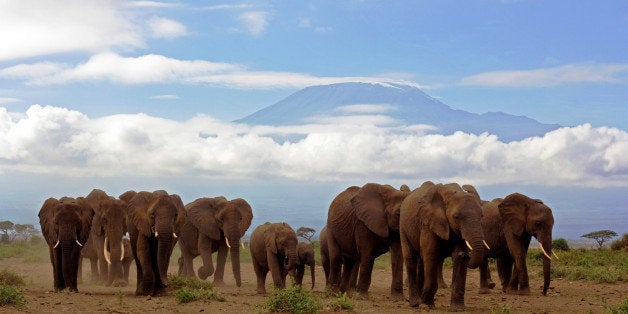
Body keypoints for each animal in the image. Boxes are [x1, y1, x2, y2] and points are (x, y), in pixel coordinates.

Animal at [400, 180, 488, 310]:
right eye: (456, 217)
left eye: (481, 216)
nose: (465, 254)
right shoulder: (428, 223)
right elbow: (431, 253)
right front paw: (427, 305)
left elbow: (457, 256)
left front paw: (458, 309)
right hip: (403, 226)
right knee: (410, 258)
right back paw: (415, 303)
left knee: (421, 261)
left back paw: (420, 299)